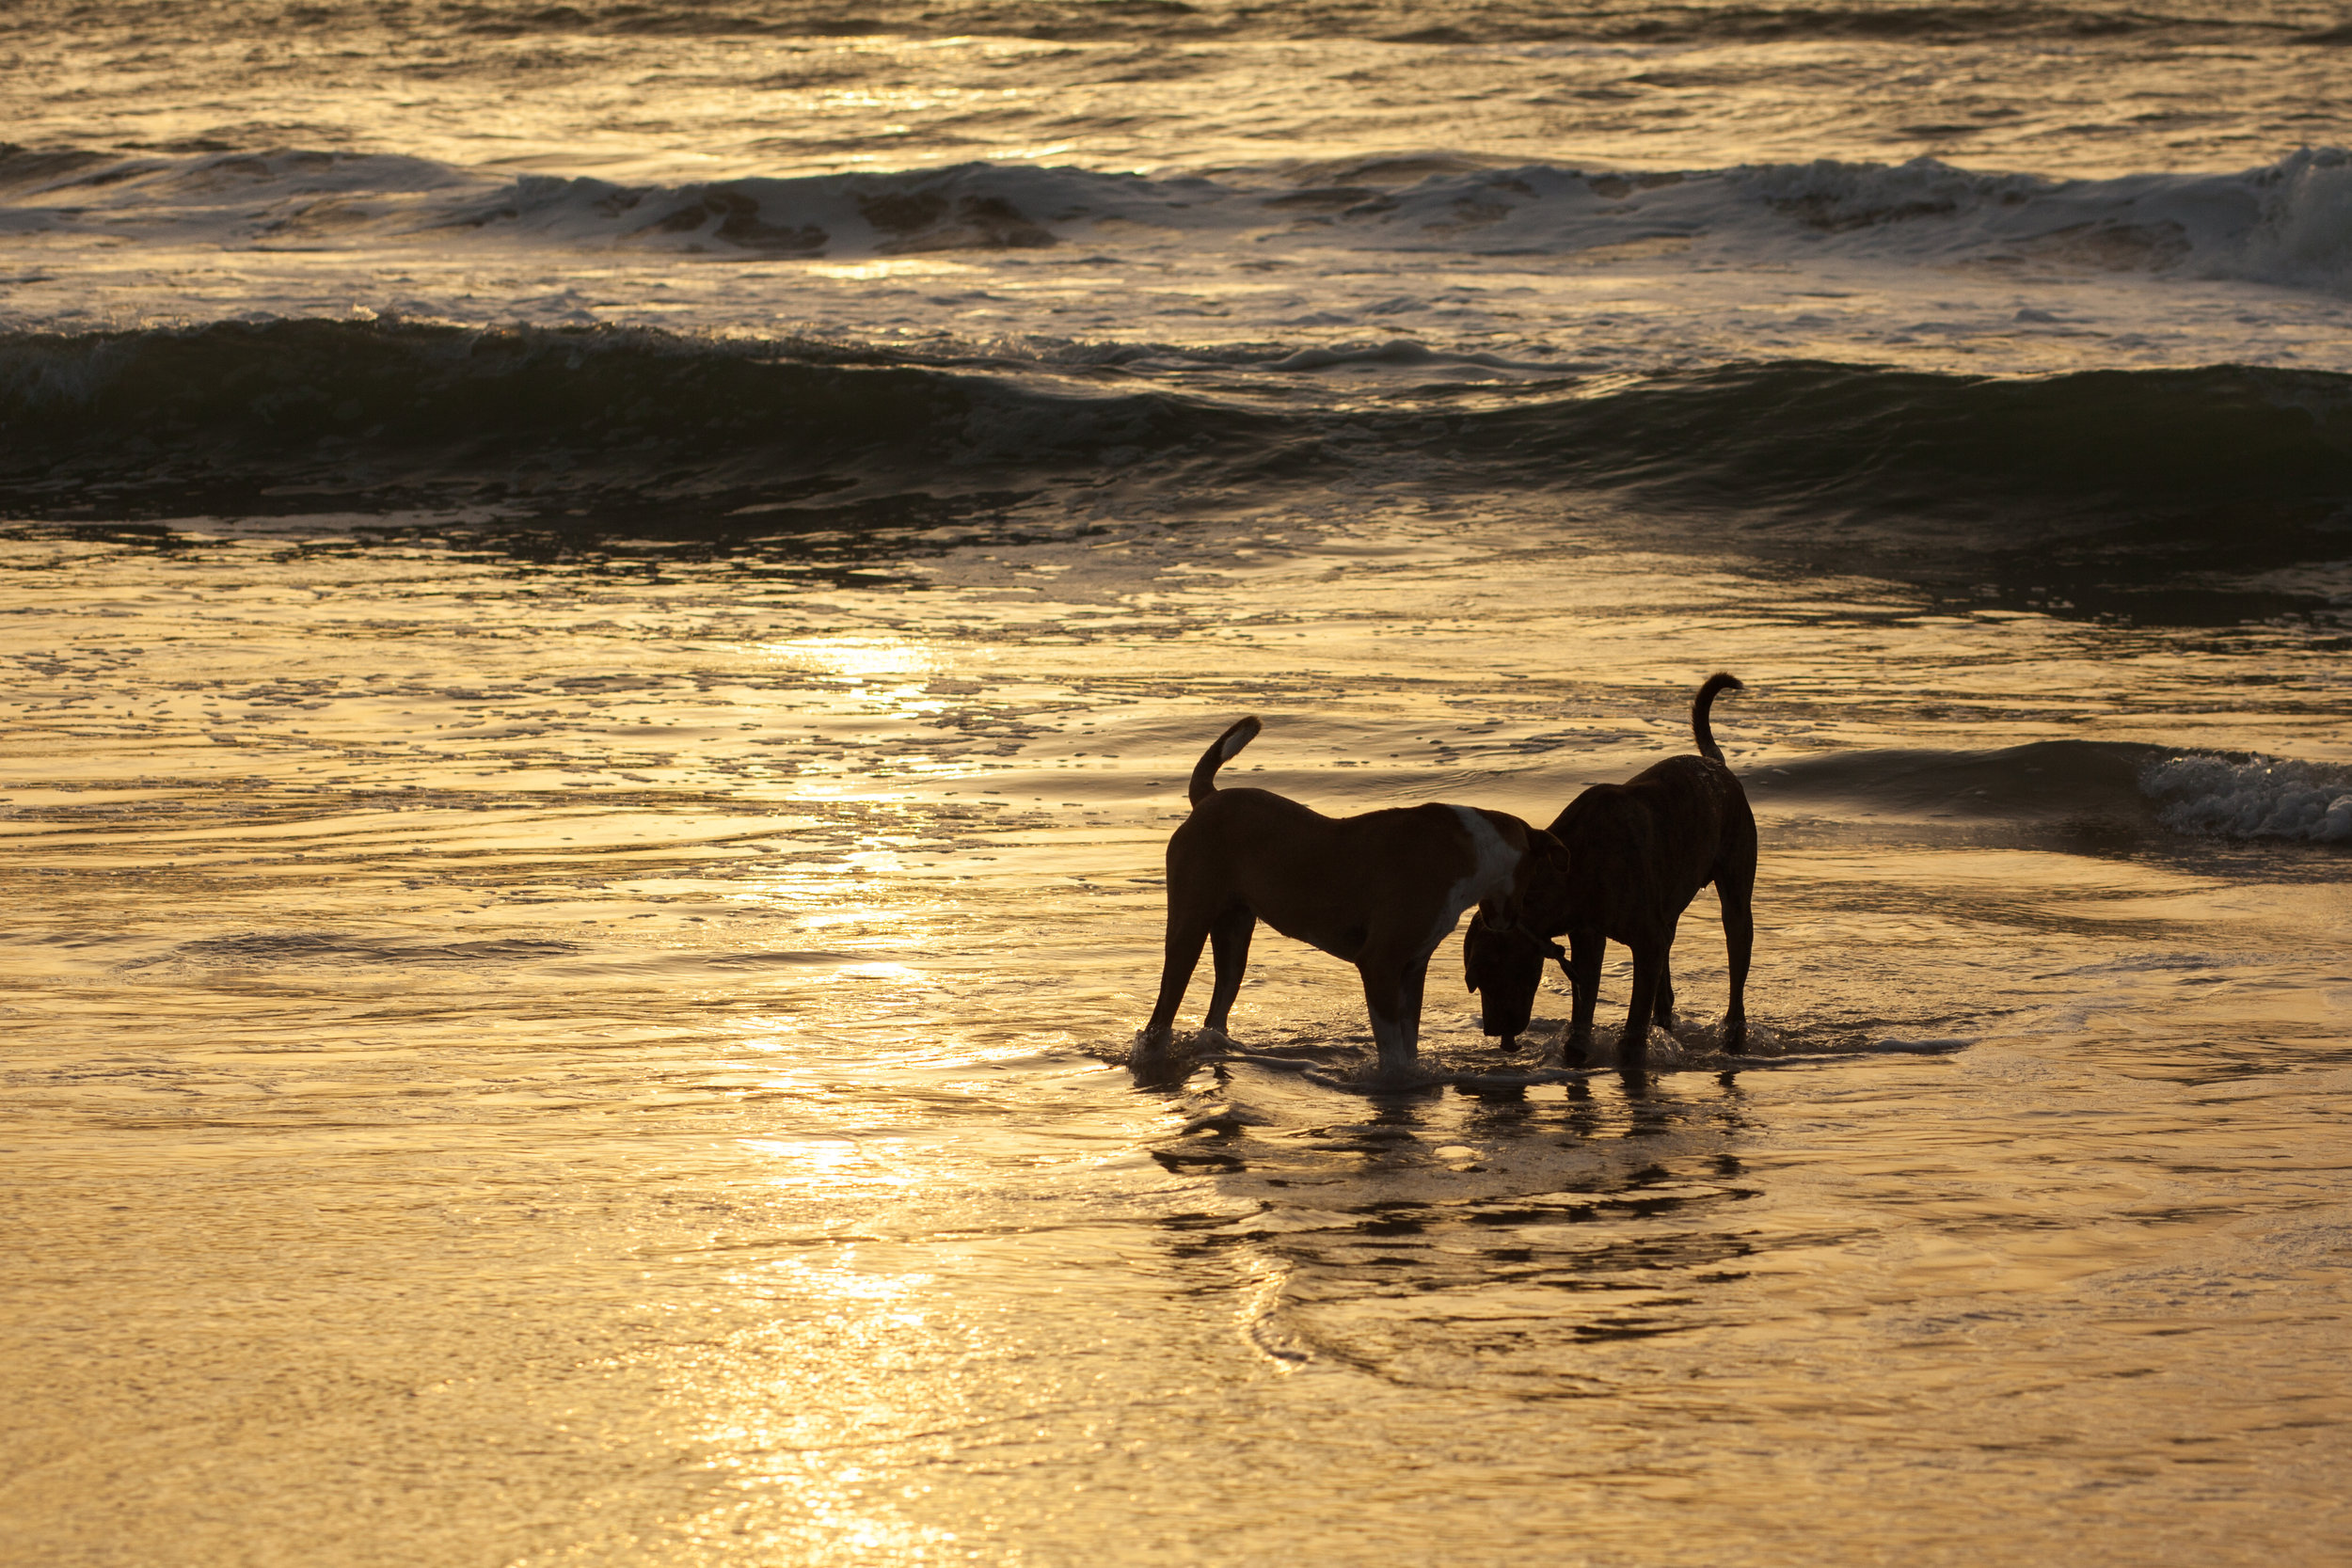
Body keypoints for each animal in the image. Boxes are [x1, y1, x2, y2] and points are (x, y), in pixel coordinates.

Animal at [1143, 714, 1571, 1071]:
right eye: (1535, 876)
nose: (1508, 921)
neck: (1473, 850)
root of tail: (1209, 798)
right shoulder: (1379, 962)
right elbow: (1393, 1048)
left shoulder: (1413, 968)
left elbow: (1409, 1039)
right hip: (1188, 929)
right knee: (1160, 1016)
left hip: (1234, 937)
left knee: (1217, 1009)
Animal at [1458, 676, 1759, 1067]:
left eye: (1487, 976)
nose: (1493, 1031)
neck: (1573, 870)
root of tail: (1717, 765)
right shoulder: (1587, 937)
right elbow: (1583, 1005)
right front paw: (1576, 1050)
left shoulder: (1645, 940)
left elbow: (1634, 1020)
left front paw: (1630, 1051)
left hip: (1736, 891)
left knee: (1735, 953)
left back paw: (1733, 1033)